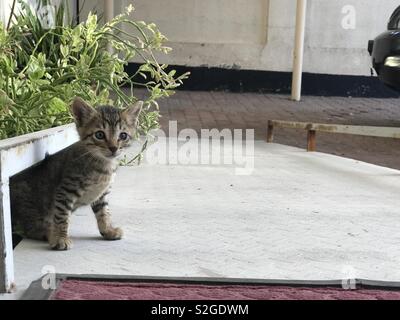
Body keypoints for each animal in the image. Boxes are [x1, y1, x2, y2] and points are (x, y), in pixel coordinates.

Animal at [10, 97, 144, 250]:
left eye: (123, 135)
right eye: (99, 135)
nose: (114, 148)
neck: (103, 166)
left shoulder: (102, 194)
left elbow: (104, 212)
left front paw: (108, 230)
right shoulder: (65, 191)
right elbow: (61, 216)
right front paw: (60, 238)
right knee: (28, 228)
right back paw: (48, 233)